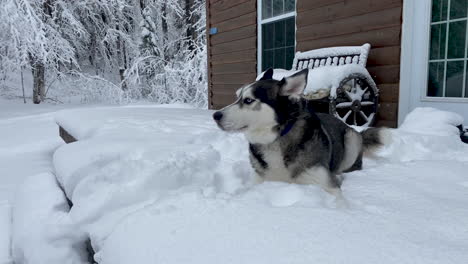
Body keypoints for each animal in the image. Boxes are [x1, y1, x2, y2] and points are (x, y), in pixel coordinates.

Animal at [213, 69, 388, 195]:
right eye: (237, 97)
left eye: (248, 100)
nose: (215, 115)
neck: (275, 139)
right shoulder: (258, 181)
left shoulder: (328, 185)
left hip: (352, 138)